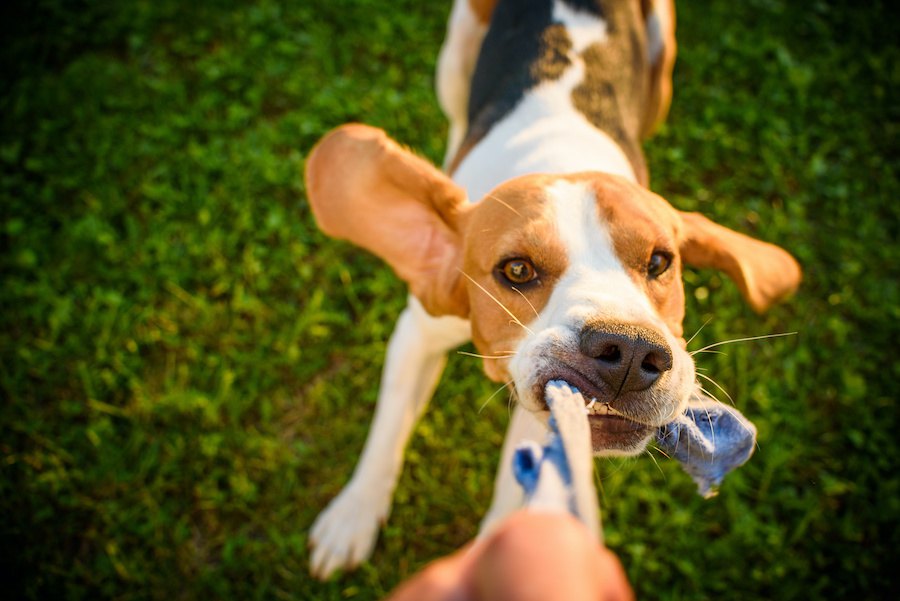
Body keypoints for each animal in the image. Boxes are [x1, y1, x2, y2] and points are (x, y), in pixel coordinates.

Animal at [304, 0, 800, 576]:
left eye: (660, 261)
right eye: (517, 271)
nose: (631, 351)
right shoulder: (419, 332)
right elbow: (387, 430)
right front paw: (353, 516)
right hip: (455, 51)